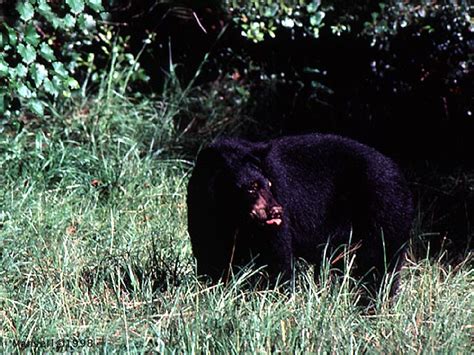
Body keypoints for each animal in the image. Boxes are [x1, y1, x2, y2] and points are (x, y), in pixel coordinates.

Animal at [187, 134, 412, 294]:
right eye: (251, 187)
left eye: (269, 184)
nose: (275, 210)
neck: (231, 214)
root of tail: (402, 178)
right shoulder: (200, 209)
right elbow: (210, 253)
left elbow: (277, 255)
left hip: (385, 211)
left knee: (379, 264)